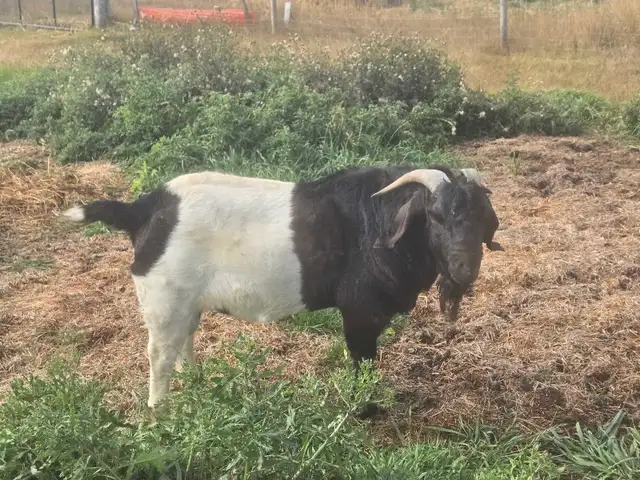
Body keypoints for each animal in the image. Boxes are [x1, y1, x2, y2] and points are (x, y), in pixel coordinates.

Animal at [62, 165, 504, 408]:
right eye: (435, 215)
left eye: (483, 217)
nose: (465, 269)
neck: (378, 221)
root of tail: (144, 208)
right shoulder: (360, 312)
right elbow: (362, 364)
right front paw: (367, 409)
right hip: (164, 299)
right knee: (159, 356)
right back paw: (160, 416)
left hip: (186, 302)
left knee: (184, 340)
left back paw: (199, 385)